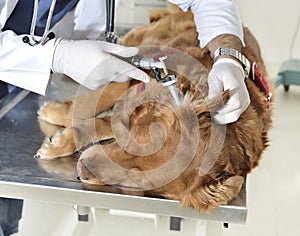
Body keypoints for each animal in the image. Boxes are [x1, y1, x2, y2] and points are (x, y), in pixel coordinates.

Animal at [35, 9, 272, 212]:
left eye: (136, 180)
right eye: (131, 143)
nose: (81, 169)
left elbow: (100, 124)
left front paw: (58, 141)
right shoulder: (130, 77)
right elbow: (86, 107)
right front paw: (55, 119)